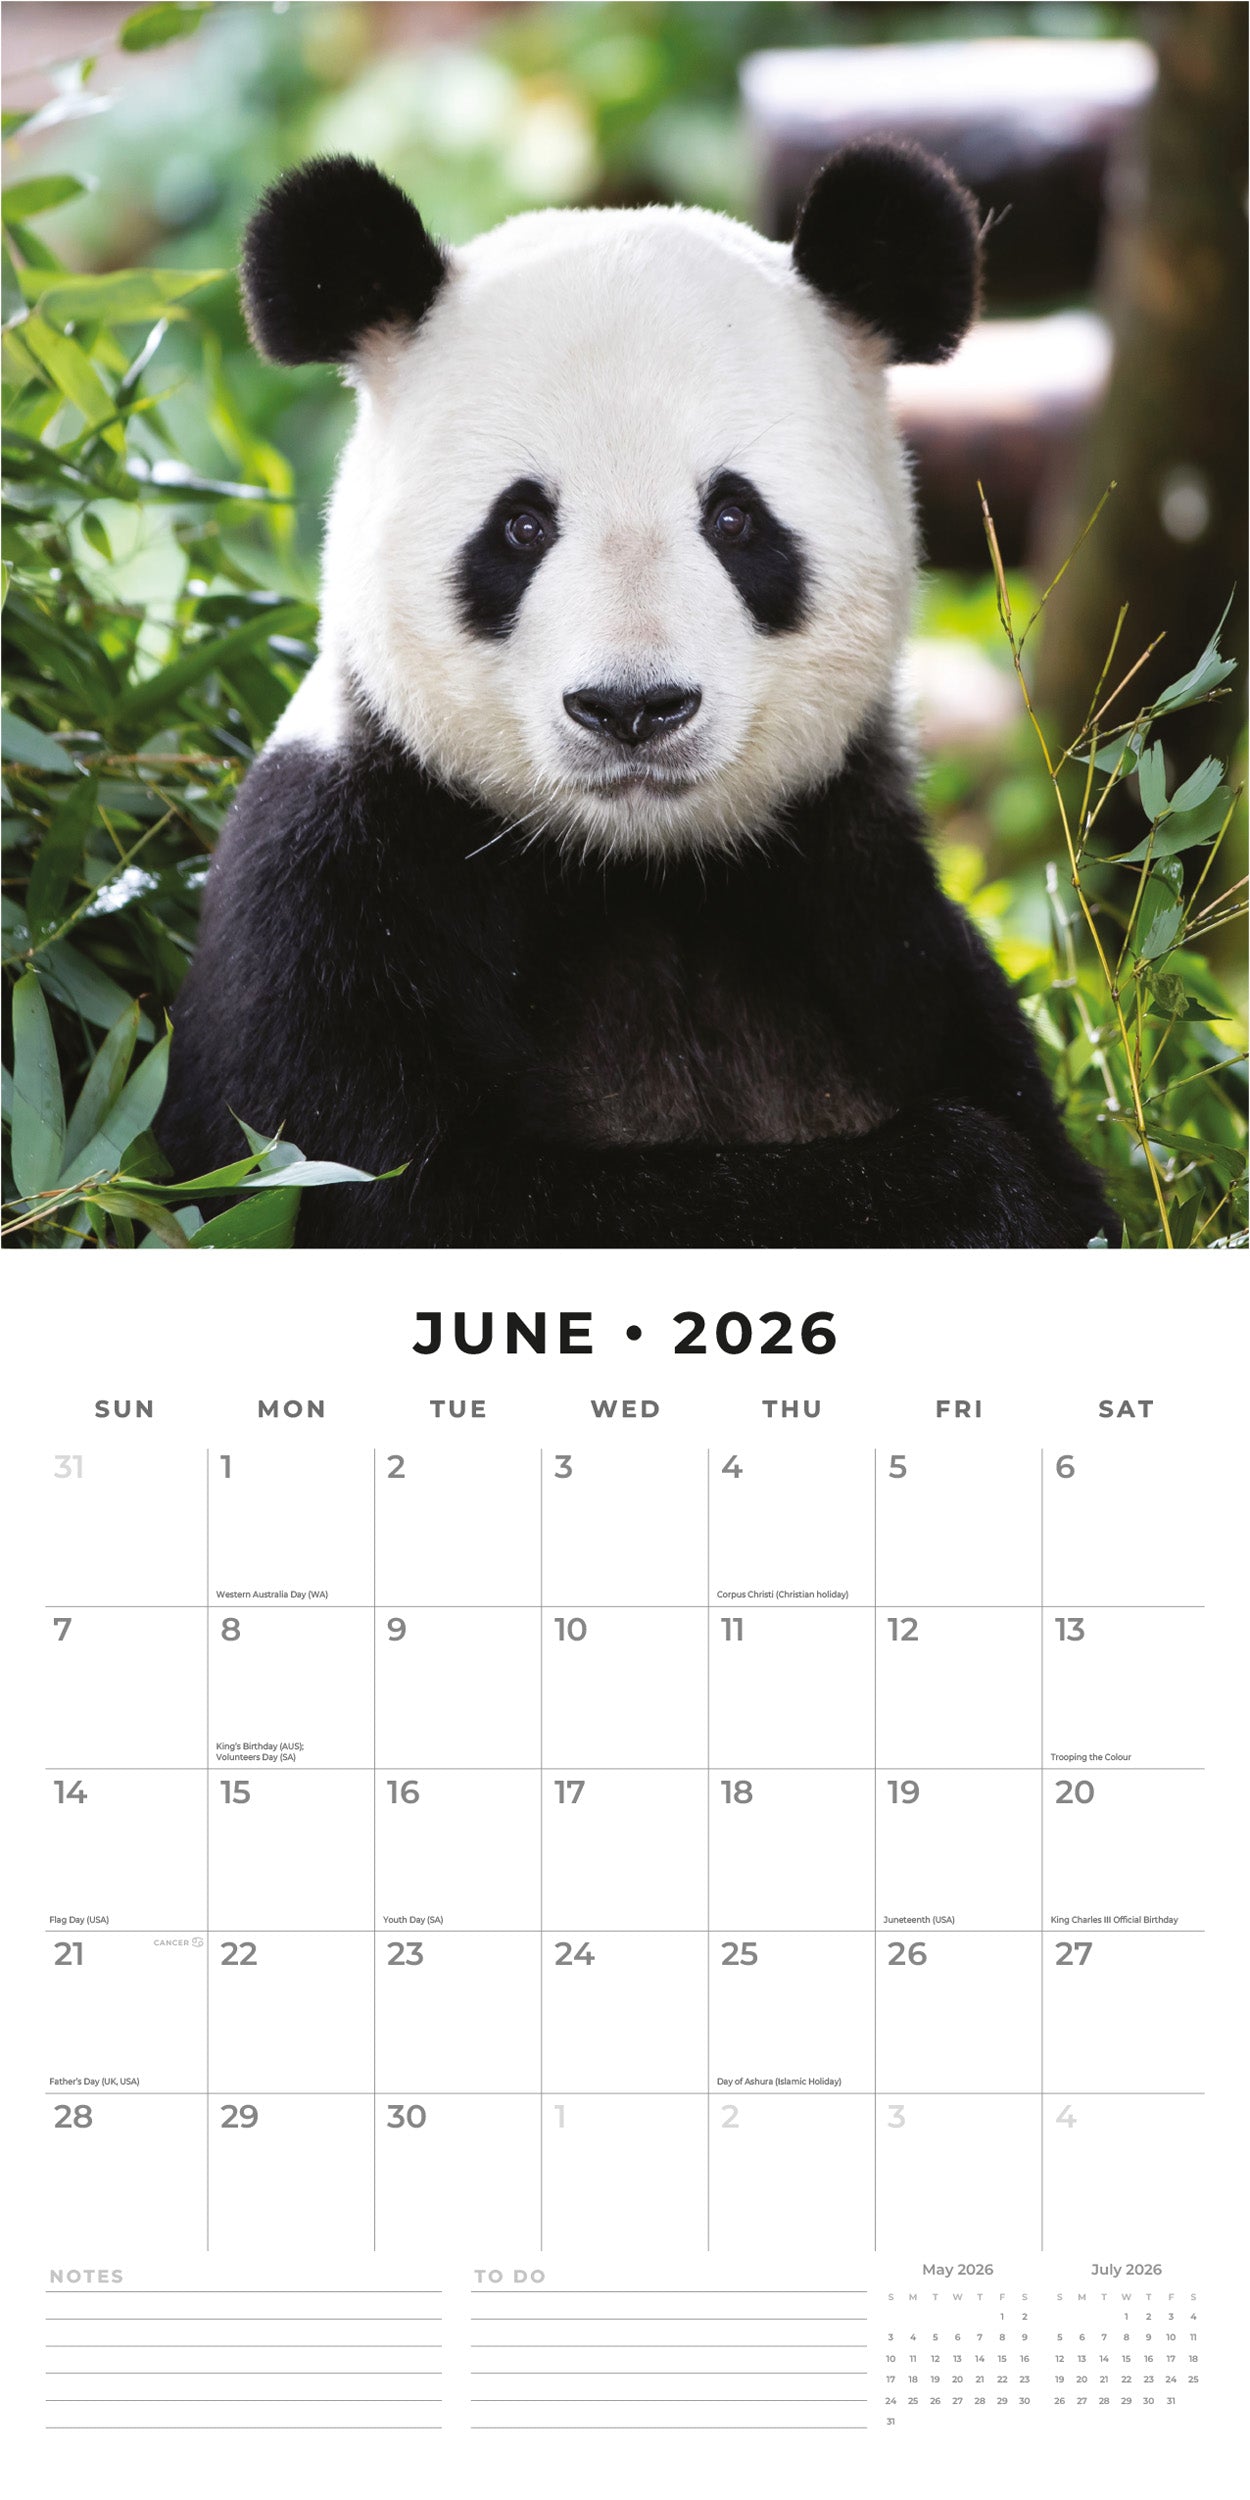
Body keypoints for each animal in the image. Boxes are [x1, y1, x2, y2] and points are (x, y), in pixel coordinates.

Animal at [157, 146, 1112, 1249]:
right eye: (522, 526)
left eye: (734, 518)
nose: (631, 709)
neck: (637, 870)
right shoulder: (334, 897)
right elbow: (413, 1193)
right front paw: (959, 1180)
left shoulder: (868, 913)